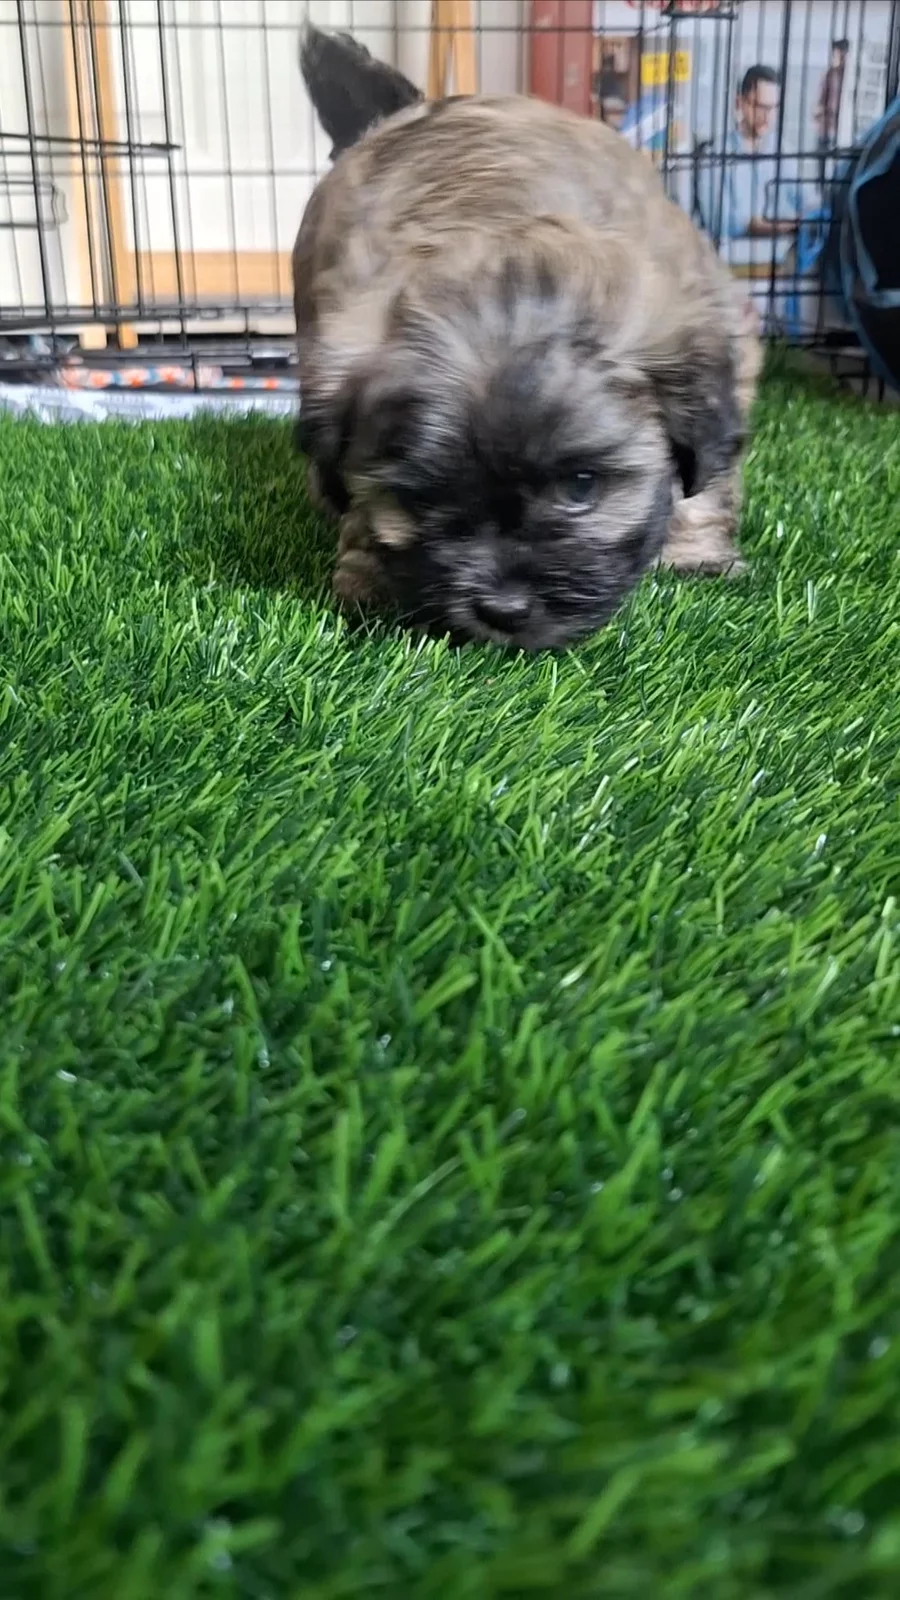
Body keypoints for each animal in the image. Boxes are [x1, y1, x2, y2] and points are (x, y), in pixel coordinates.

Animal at [294, 23, 761, 651]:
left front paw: (696, 554)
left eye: (582, 487)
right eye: (421, 498)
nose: (503, 609)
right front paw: (370, 571)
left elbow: (706, 480)